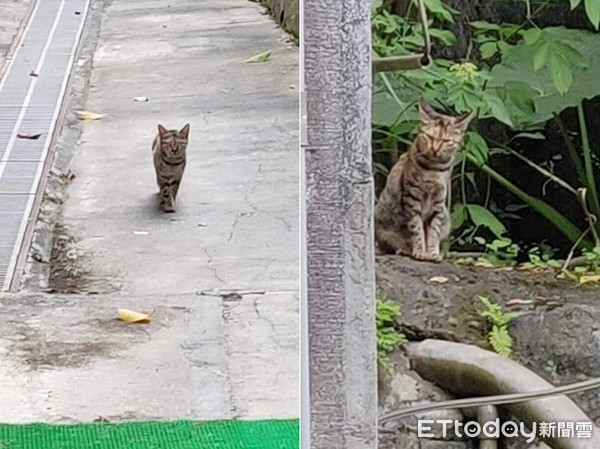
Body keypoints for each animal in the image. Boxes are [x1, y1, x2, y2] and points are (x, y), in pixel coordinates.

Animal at [376, 100, 474, 262]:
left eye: (446, 140)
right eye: (429, 136)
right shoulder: (412, 199)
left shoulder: (438, 203)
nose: (434, 149)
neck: (434, 169)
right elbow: (417, 229)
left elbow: (433, 231)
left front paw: (432, 252)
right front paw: (420, 251)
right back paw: (404, 250)